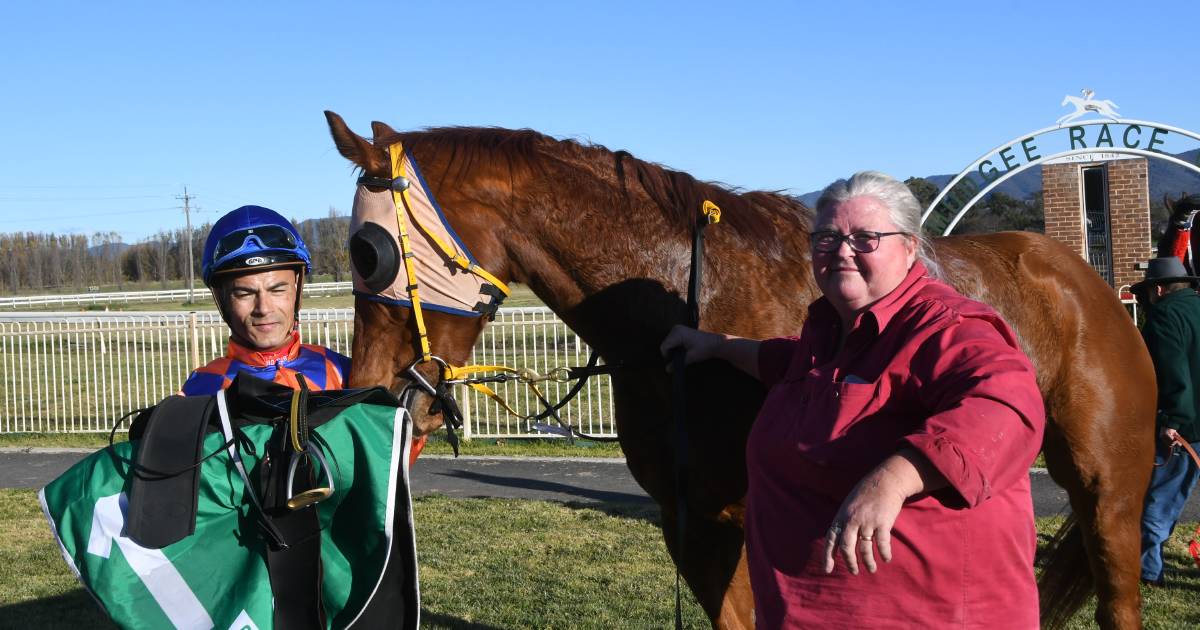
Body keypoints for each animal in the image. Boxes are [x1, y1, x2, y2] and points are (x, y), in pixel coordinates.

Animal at [326, 112, 1152, 628]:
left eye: (370, 251)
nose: (372, 386)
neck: (690, 299)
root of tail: (1085, 278)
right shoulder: (695, 526)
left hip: (1109, 488)